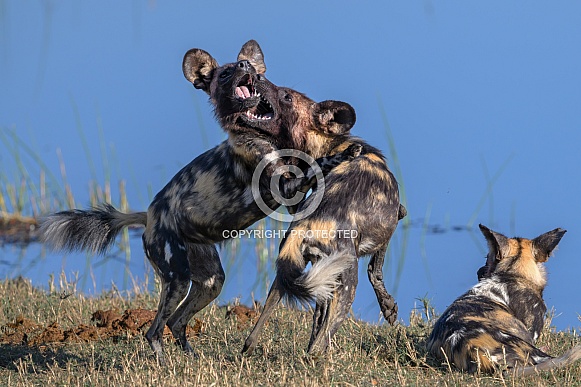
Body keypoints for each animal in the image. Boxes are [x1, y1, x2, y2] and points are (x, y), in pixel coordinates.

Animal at [39, 41, 358, 362]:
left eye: (250, 68)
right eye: (225, 73)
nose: (246, 68)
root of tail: (149, 216)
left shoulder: (291, 198)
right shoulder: (283, 186)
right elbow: (314, 166)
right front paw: (344, 154)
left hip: (210, 281)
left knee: (176, 321)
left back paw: (192, 357)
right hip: (176, 278)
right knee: (154, 330)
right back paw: (165, 363)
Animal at [241, 96, 408, 354]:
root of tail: (305, 226)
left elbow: (318, 317)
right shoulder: (393, 222)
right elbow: (375, 271)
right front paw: (388, 307)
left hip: (290, 275)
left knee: (256, 333)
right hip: (346, 283)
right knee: (319, 345)